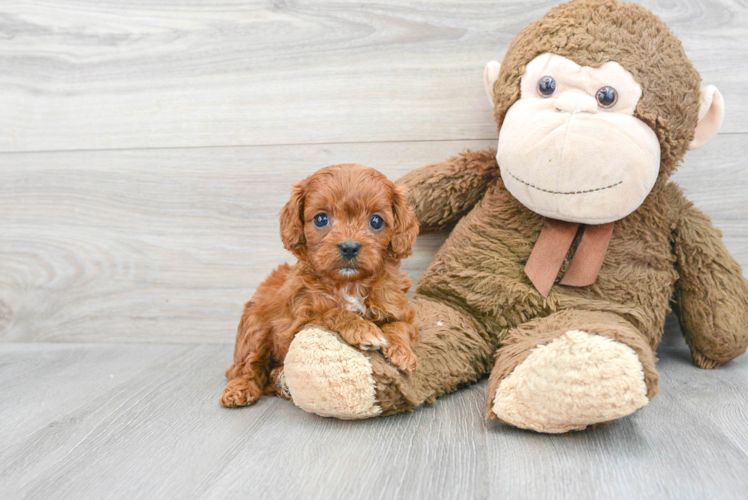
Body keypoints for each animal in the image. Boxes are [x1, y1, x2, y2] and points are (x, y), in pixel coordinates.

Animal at [221, 162, 420, 408]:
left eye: (376, 221)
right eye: (321, 219)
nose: (350, 247)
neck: (349, 285)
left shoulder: (402, 310)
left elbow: (400, 326)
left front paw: (403, 352)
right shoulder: (295, 325)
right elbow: (331, 313)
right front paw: (363, 329)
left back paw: (280, 381)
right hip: (254, 326)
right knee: (247, 365)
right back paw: (240, 389)